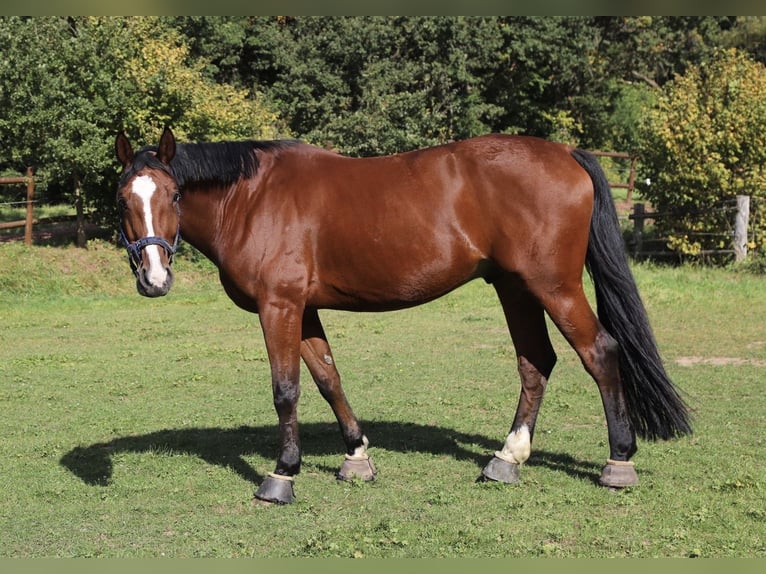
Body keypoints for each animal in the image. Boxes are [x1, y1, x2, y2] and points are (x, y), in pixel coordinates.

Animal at [115, 128, 696, 506]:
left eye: (174, 194)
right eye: (122, 198)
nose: (153, 278)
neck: (252, 197)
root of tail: (567, 154)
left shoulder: (279, 306)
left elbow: (287, 390)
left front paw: (282, 476)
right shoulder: (304, 309)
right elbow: (327, 378)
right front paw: (356, 457)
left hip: (554, 287)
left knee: (599, 353)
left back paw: (618, 462)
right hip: (516, 287)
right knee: (536, 363)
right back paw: (507, 459)